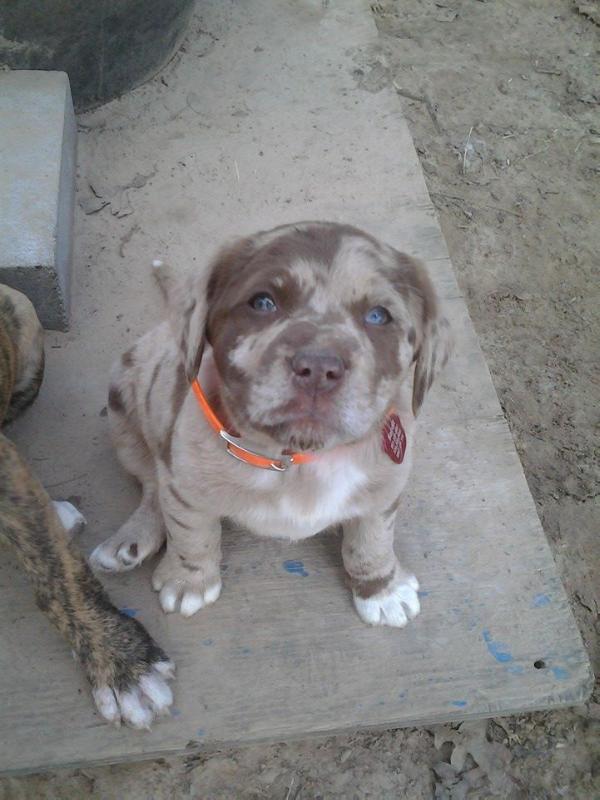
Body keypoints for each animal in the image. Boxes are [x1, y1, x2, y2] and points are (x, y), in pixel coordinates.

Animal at [92, 222, 450, 628]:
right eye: (263, 302)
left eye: (378, 316)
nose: (319, 368)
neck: (295, 461)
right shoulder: (184, 485)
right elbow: (191, 534)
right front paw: (188, 582)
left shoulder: (385, 489)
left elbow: (372, 540)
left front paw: (382, 588)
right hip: (125, 411)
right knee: (152, 483)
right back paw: (131, 540)